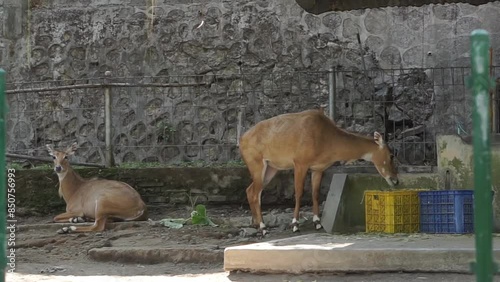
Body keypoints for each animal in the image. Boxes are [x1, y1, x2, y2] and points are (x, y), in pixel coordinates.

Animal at [240, 108, 400, 234]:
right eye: (391, 155)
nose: (395, 180)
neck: (327, 139)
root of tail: (242, 140)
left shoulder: (318, 168)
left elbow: (315, 193)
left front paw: (317, 222)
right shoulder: (300, 163)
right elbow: (299, 193)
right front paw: (295, 224)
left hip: (271, 168)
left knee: (251, 190)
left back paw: (257, 224)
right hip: (257, 164)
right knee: (254, 192)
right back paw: (263, 227)